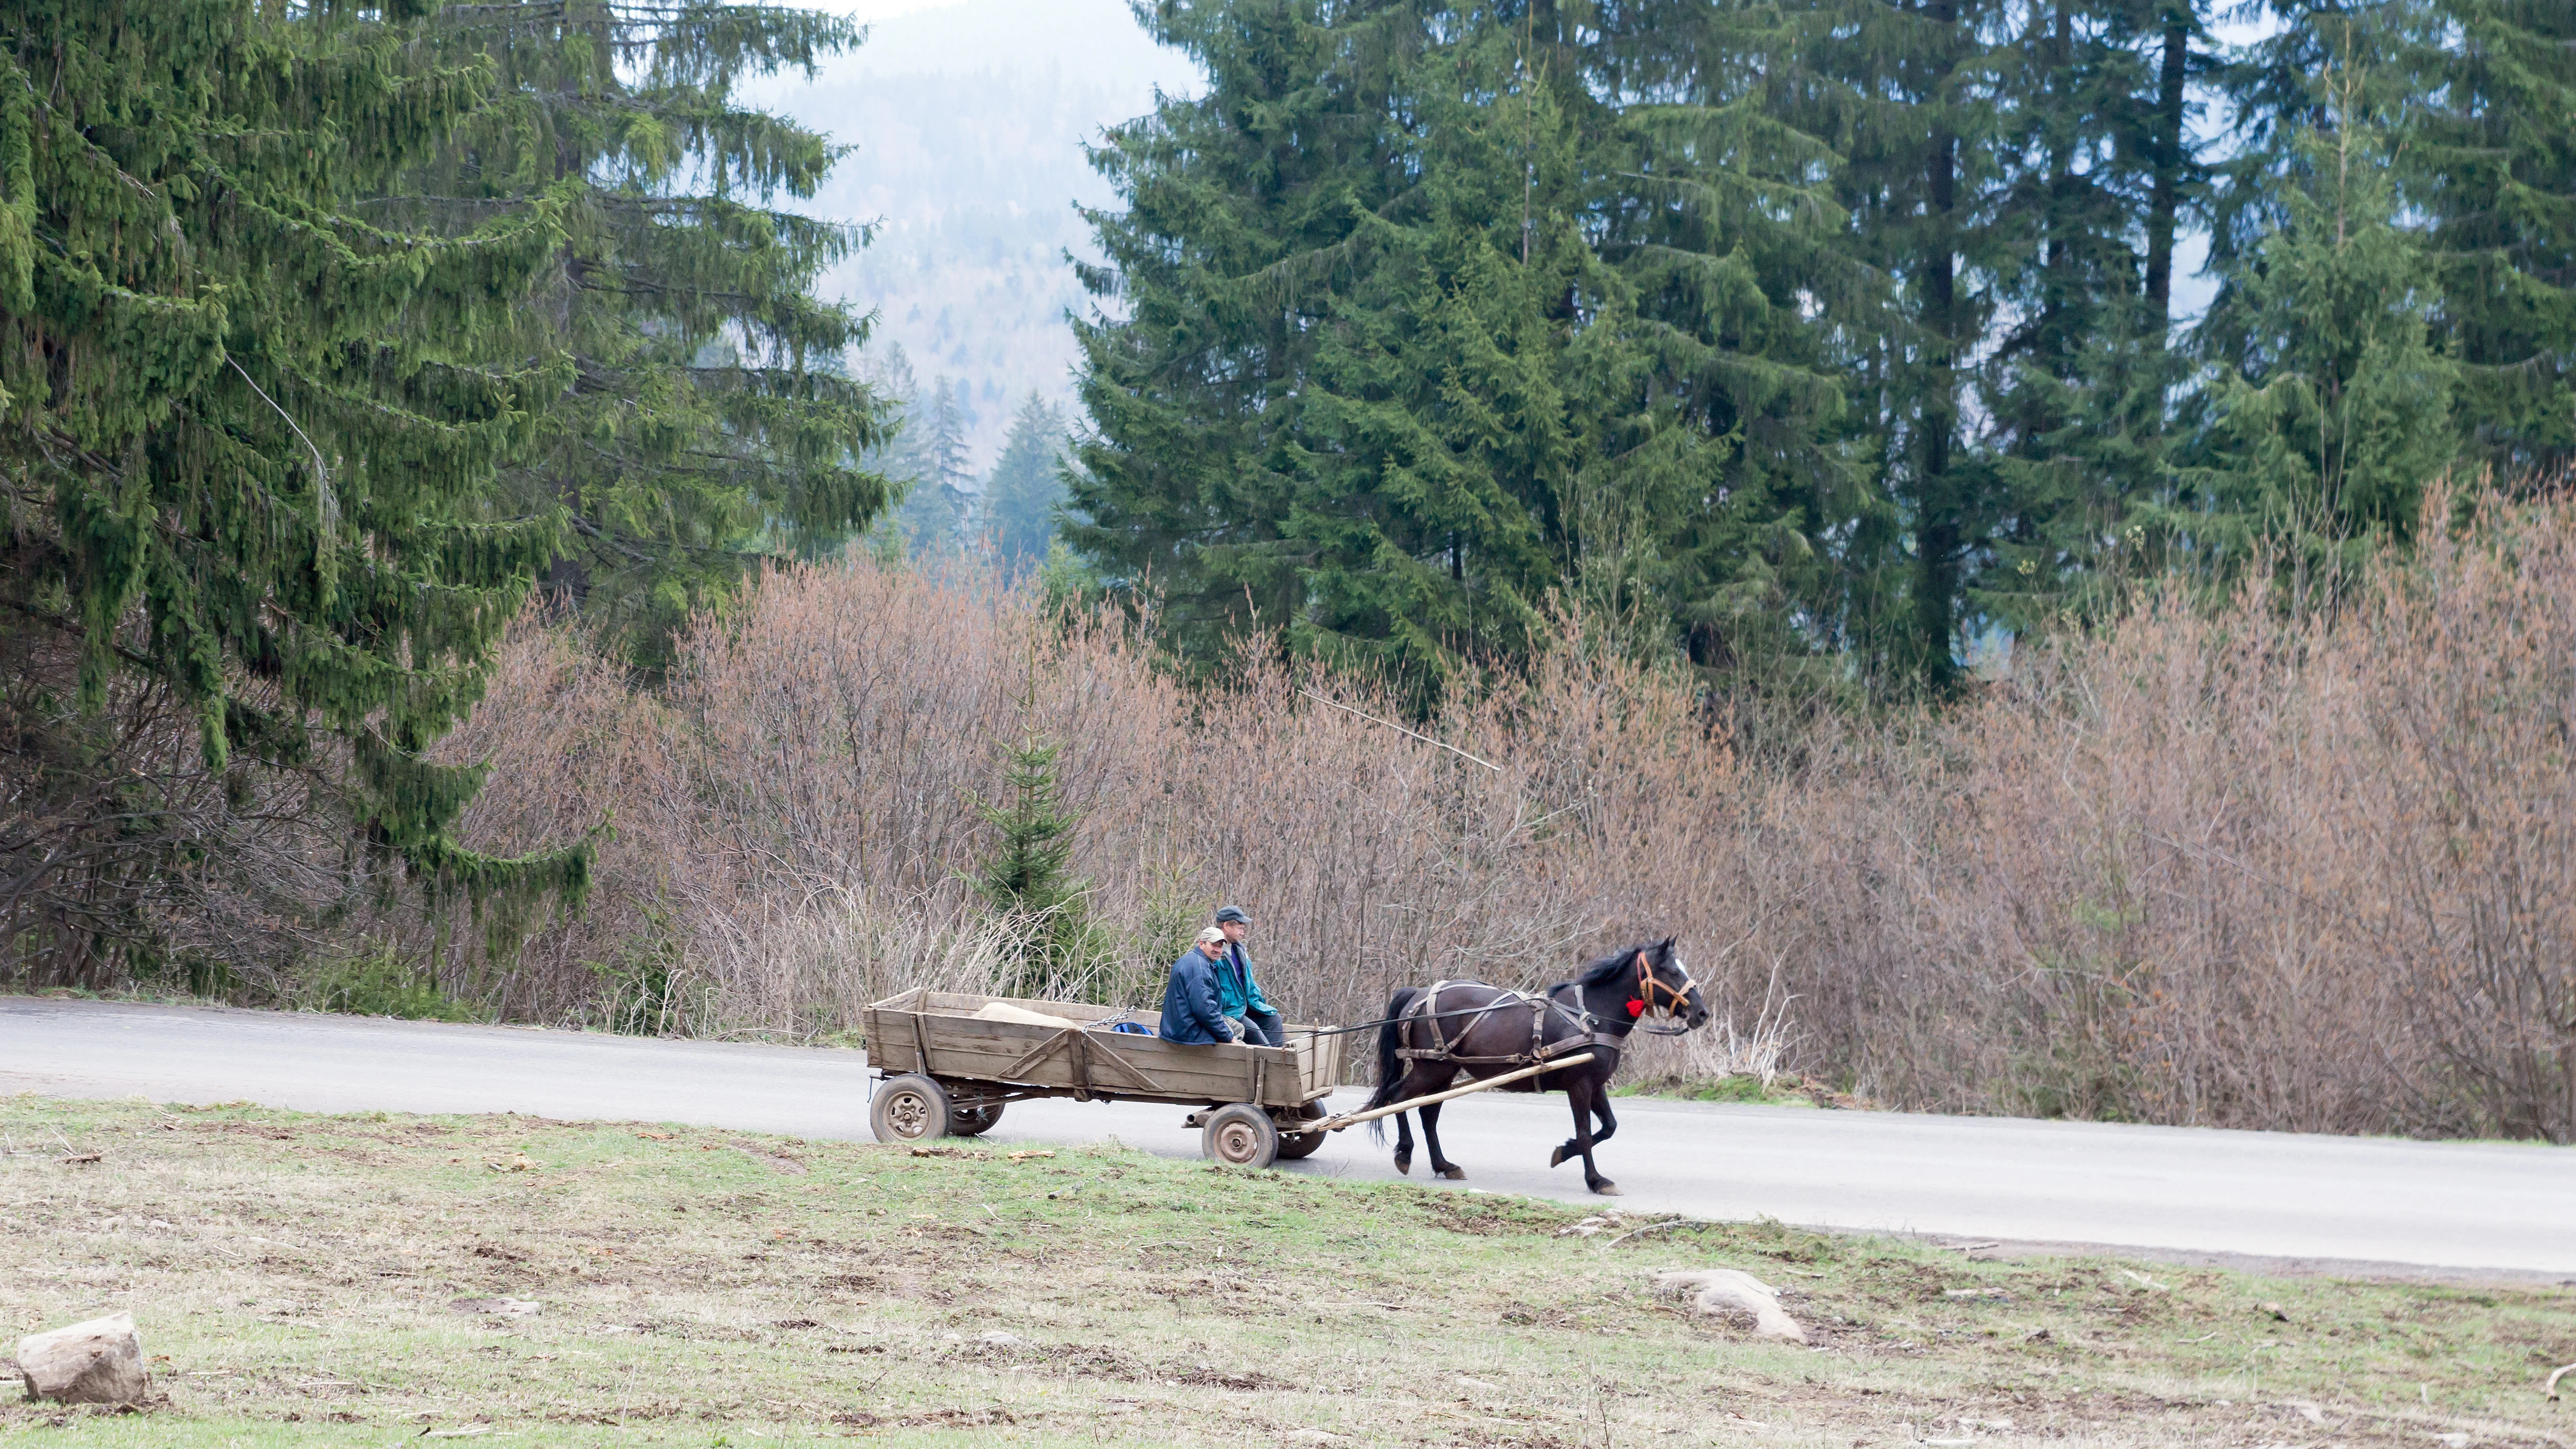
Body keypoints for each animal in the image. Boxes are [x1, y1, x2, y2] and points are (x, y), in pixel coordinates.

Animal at [1358, 938, 1708, 1196]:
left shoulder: (1597, 1084)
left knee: (1427, 1113)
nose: (1702, 1013)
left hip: (1444, 1070)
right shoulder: (1579, 1085)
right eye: (1670, 970)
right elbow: (1585, 1133)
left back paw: (1444, 1165)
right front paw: (1595, 1180)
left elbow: (1609, 1127)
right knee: (1398, 1097)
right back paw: (1405, 1153)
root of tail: (1416, 993)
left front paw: (1564, 1152)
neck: (1592, 1016)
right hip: (1430, 1068)